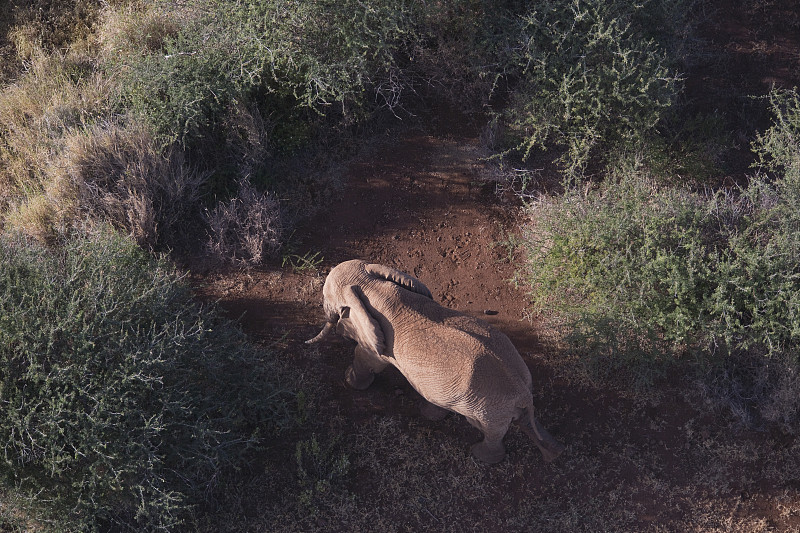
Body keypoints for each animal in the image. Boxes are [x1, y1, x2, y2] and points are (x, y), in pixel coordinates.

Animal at [306, 258, 564, 462]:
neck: (372, 285)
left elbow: (368, 358)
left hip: (486, 410)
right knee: (525, 421)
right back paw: (552, 454)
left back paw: (480, 456)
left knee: (490, 431)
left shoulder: (378, 345)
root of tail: (522, 391)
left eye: (326, 298)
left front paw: (349, 381)